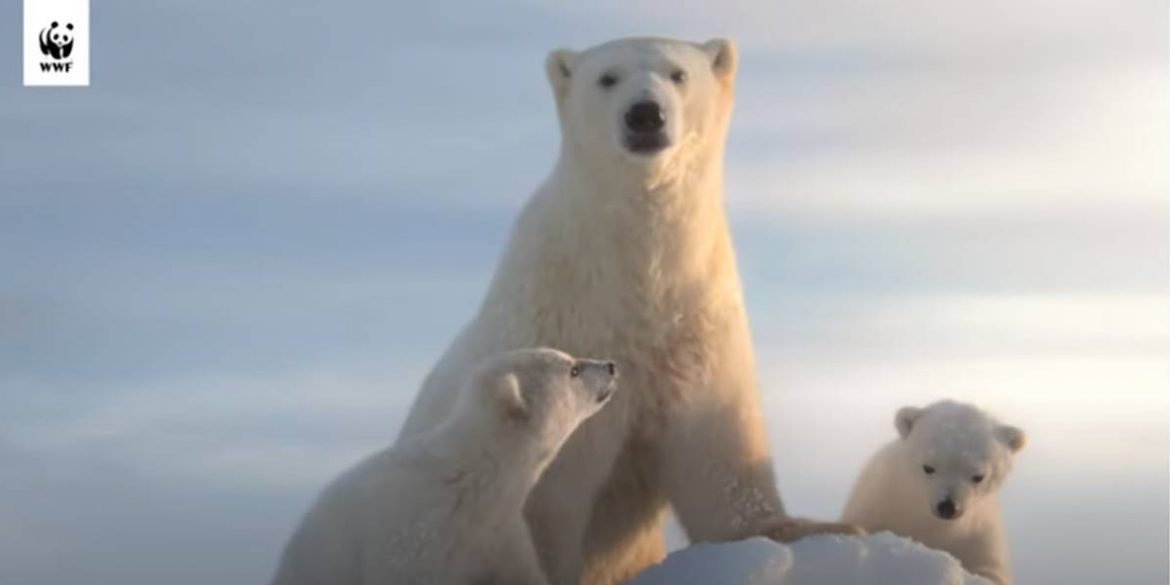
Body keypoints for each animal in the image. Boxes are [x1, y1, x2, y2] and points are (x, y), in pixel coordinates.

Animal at [397, 35, 856, 585]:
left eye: (678, 73)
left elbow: (717, 443)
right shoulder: (561, 322)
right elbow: (547, 483)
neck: (632, 283)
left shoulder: (696, 321)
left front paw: (806, 530)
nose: (644, 114)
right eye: (607, 77)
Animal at [842, 402, 1024, 585]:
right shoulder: (880, 504)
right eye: (928, 467)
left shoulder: (979, 533)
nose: (947, 506)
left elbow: (990, 570)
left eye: (978, 476)